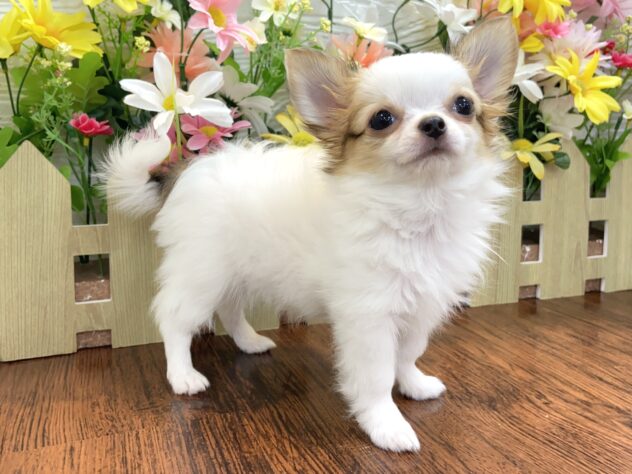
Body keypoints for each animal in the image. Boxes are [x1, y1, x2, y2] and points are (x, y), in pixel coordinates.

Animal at [104, 17, 518, 452]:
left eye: (464, 106)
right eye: (381, 119)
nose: (434, 123)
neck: (420, 203)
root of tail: (184, 171)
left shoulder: (421, 306)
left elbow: (407, 354)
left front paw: (413, 384)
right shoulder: (369, 316)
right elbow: (376, 376)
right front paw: (386, 425)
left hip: (237, 272)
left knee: (230, 310)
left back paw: (250, 341)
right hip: (201, 274)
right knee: (174, 319)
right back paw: (183, 375)